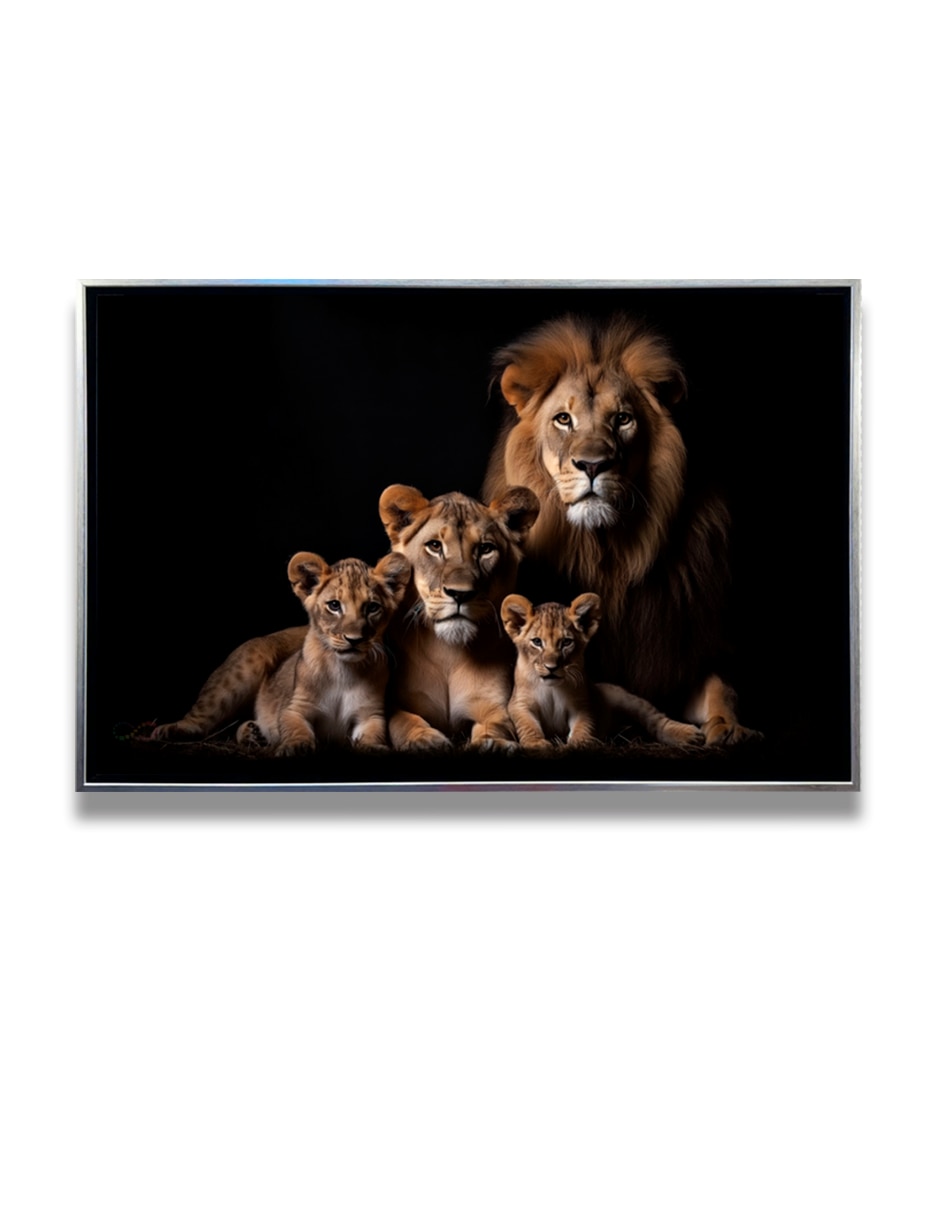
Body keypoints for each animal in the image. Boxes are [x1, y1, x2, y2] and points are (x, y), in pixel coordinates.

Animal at [151, 551, 410, 752]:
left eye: (372, 608)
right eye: (334, 605)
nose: (354, 640)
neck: (343, 670)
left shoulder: (370, 714)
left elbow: (373, 733)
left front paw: (374, 748)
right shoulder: (294, 708)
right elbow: (295, 728)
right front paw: (296, 747)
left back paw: (253, 734)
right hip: (244, 667)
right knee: (201, 717)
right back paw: (169, 730)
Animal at [378, 483, 540, 750]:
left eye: (485, 549)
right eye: (435, 546)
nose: (460, 594)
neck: (448, 655)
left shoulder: (495, 707)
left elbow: (496, 726)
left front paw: (491, 744)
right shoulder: (396, 703)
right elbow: (403, 722)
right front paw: (424, 741)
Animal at [501, 593, 705, 751]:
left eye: (566, 642)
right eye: (537, 642)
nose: (552, 667)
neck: (552, 688)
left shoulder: (583, 703)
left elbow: (584, 724)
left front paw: (580, 743)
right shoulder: (519, 704)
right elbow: (527, 724)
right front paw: (536, 744)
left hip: (629, 699)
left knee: (656, 719)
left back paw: (689, 735)